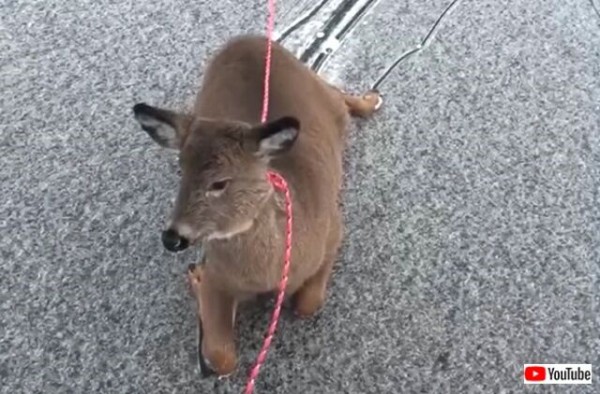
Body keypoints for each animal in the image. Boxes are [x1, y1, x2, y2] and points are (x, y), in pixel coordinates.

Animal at [133, 35, 382, 378]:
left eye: (220, 182)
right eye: (181, 170)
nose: (172, 238)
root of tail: (248, 39)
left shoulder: (334, 229)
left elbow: (309, 303)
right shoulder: (220, 275)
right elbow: (222, 356)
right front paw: (196, 278)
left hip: (315, 89)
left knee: (336, 94)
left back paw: (371, 99)